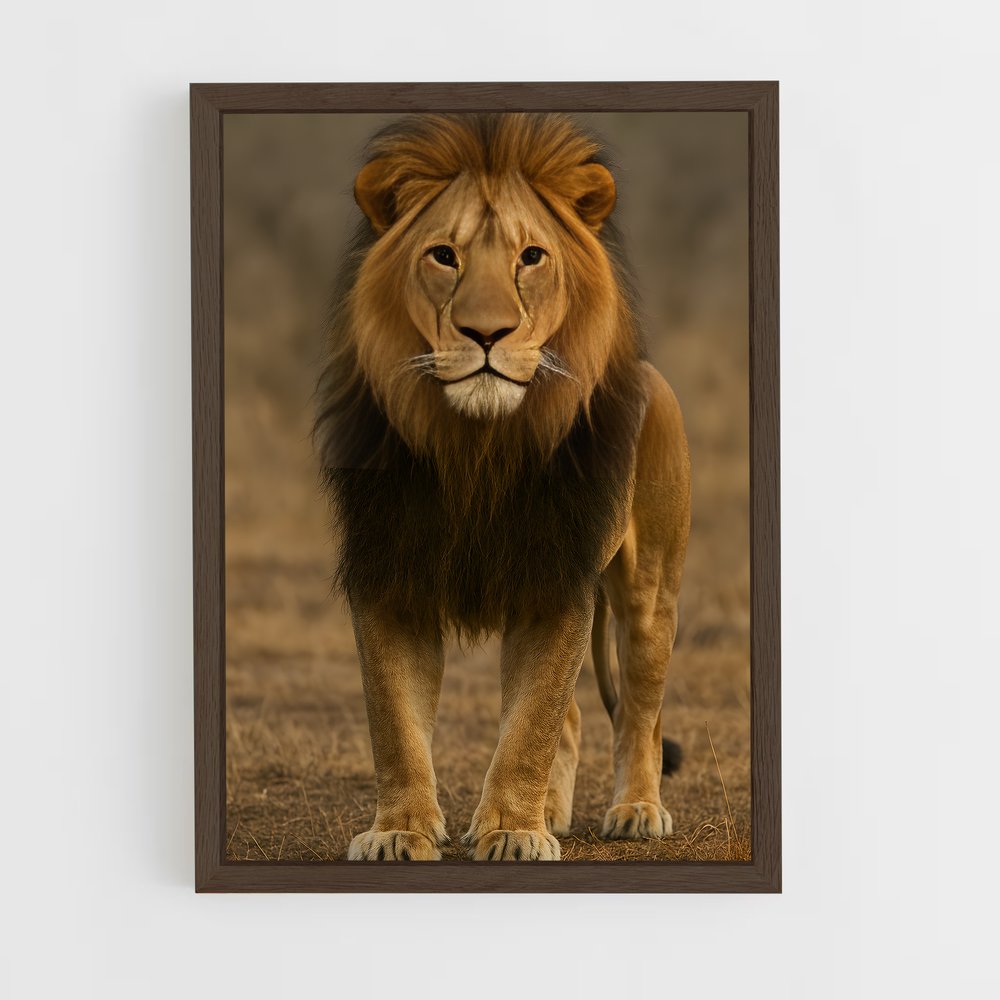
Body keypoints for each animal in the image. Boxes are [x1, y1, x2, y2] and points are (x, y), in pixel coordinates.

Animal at [314, 113, 691, 861]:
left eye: (532, 258)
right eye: (444, 256)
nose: (486, 332)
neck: (475, 448)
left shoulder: (556, 581)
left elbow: (531, 723)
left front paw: (513, 833)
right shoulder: (390, 574)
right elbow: (394, 721)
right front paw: (399, 831)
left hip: (650, 590)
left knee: (640, 711)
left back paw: (636, 809)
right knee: (575, 716)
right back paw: (553, 811)